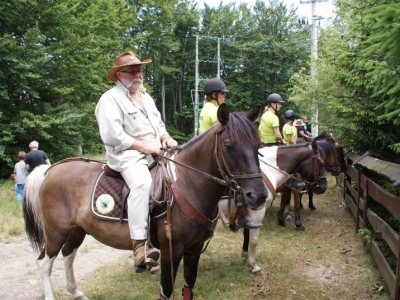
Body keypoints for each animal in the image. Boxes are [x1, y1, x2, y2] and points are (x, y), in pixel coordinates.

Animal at [24, 103, 268, 300]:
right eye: (228, 145)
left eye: (258, 145)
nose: (259, 195)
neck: (187, 185)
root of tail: (49, 170)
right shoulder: (172, 250)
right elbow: (166, 291)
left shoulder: (194, 249)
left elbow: (188, 288)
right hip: (56, 231)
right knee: (44, 264)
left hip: (77, 230)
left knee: (68, 255)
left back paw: (76, 292)